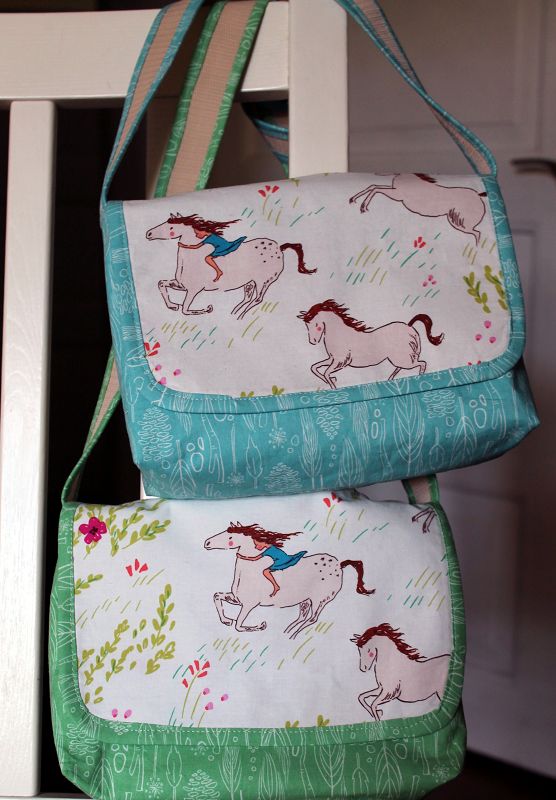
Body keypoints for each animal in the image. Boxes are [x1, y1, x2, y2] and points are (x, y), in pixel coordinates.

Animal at [146, 213, 316, 318]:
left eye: (171, 228)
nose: (148, 234)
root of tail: (280, 247)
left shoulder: (194, 289)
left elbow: (186, 310)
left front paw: (207, 308)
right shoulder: (182, 285)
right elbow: (162, 284)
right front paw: (173, 305)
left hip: (264, 281)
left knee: (258, 299)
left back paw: (240, 315)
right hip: (250, 283)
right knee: (248, 298)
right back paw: (235, 311)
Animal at [204, 522, 374, 639]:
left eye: (230, 537)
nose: (207, 543)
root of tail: (340, 564)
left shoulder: (249, 605)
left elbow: (239, 626)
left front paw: (260, 625)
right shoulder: (238, 600)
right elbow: (217, 597)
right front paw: (227, 620)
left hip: (320, 599)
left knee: (312, 619)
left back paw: (293, 635)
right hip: (306, 600)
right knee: (303, 617)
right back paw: (288, 630)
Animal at [298, 299, 445, 388]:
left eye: (317, 326)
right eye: (306, 326)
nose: (312, 342)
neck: (340, 335)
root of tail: (409, 326)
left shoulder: (341, 361)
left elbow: (326, 372)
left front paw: (333, 385)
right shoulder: (332, 359)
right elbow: (315, 368)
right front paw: (332, 380)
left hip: (403, 358)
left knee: (422, 363)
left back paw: (419, 379)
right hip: (399, 358)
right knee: (402, 367)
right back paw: (390, 379)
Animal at [349, 173, 487, 245]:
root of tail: (479, 195)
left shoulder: (397, 195)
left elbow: (376, 189)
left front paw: (363, 206)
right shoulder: (395, 191)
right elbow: (373, 186)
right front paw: (353, 200)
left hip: (459, 221)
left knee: (477, 233)